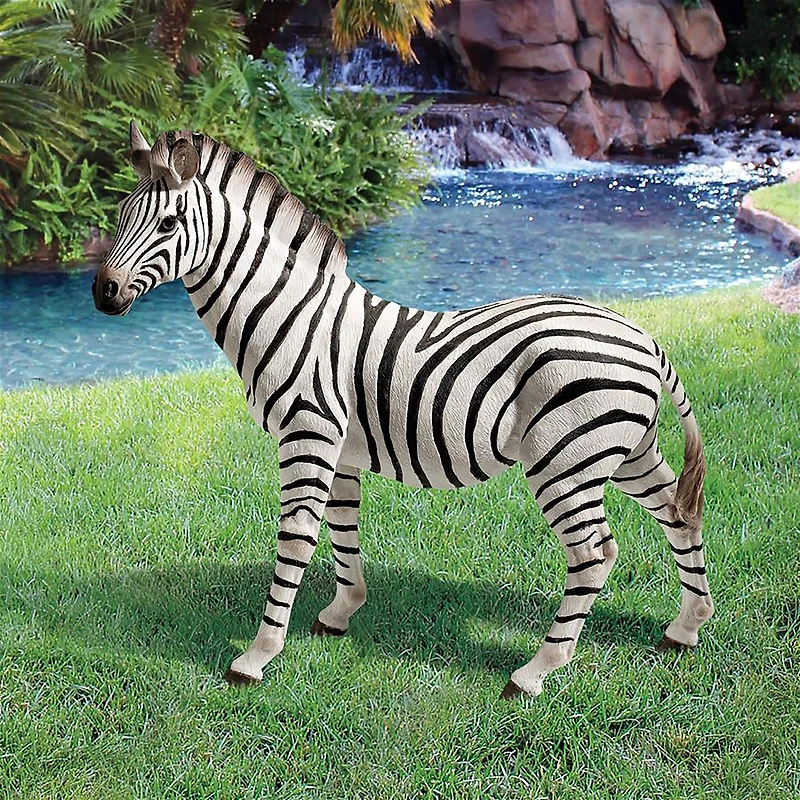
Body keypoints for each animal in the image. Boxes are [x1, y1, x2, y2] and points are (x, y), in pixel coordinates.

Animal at [92, 122, 713, 698]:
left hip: (564, 461)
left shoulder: (307, 435)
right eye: (119, 214)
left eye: (168, 224)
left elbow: (296, 535)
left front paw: (258, 655)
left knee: (594, 553)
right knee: (680, 512)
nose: (102, 292)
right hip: (626, 452)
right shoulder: (340, 449)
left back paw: (537, 670)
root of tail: (646, 338)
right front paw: (342, 612)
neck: (288, 313)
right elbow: (341, 528)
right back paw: (687, 627)